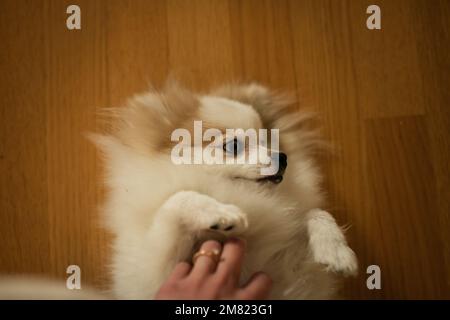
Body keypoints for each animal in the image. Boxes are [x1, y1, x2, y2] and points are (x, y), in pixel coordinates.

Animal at [89, 80, 358, 300]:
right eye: (233, 146)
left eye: (267, 140)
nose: (282, 158)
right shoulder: (150, 277)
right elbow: (177, 198)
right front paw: (221, 213)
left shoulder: (295, 273)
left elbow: (316, 212)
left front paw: (336, 251)